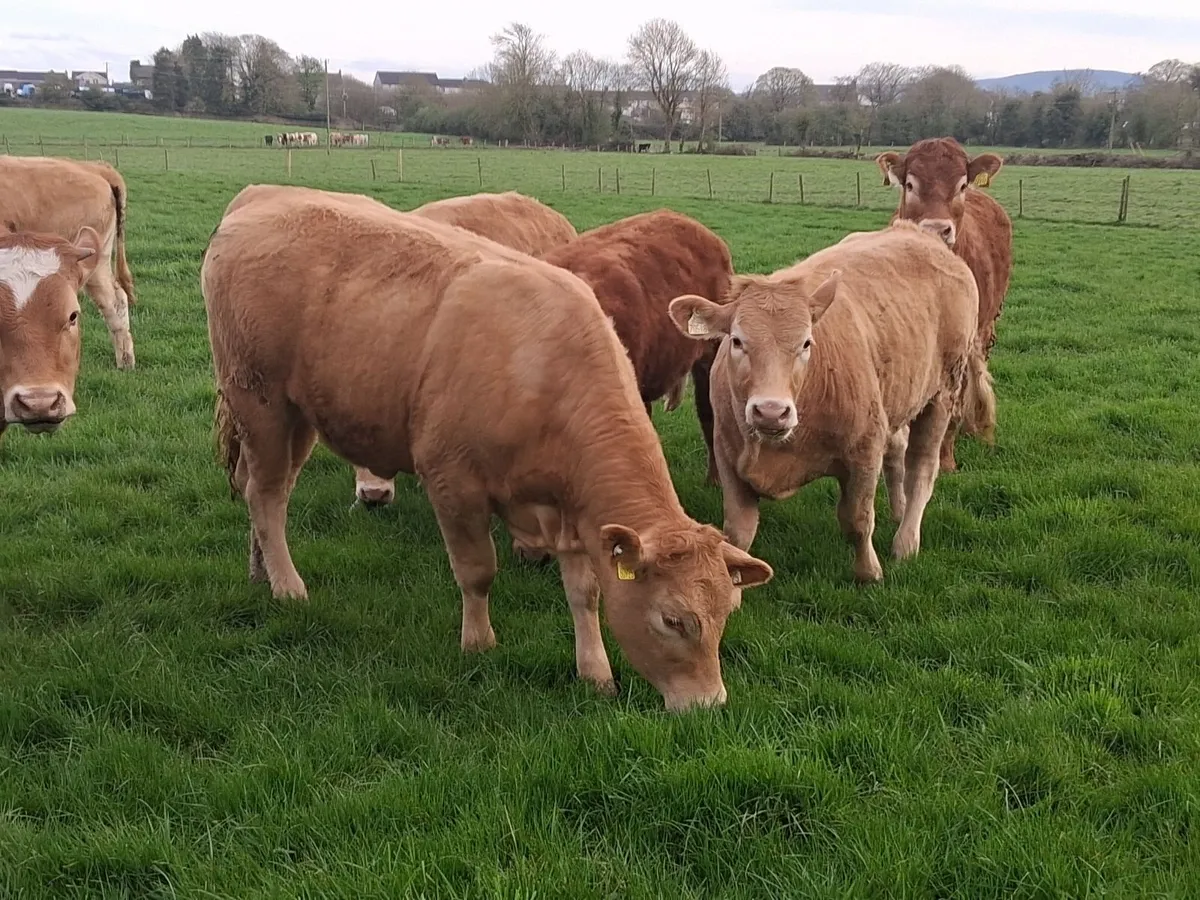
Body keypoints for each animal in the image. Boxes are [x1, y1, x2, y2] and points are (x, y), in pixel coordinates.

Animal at [201, 184, 773, 711]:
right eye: (673, 619)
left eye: (726, 613)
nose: (709, 703)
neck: (545, 374)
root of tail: (262, 195)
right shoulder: (453, 484)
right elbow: (477, 572)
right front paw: (478, 643)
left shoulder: (570, 510)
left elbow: (584, 593)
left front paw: (595, 672)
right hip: (260, 402)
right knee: (265, 496)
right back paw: (288, 586)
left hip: (297, 416)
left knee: (267, 490)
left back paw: (261, 572)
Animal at [669, 221, 996, 584]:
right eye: (737, 341)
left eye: (806, 343)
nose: (771, 412)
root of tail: (921, 232)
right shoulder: (728, 457)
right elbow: (738, 532)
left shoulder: (864, 450)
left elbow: (857, 520)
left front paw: (869, 573)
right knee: (898, 450)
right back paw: (898, 510)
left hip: (943, 392)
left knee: (922, 467)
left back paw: (906, 540)